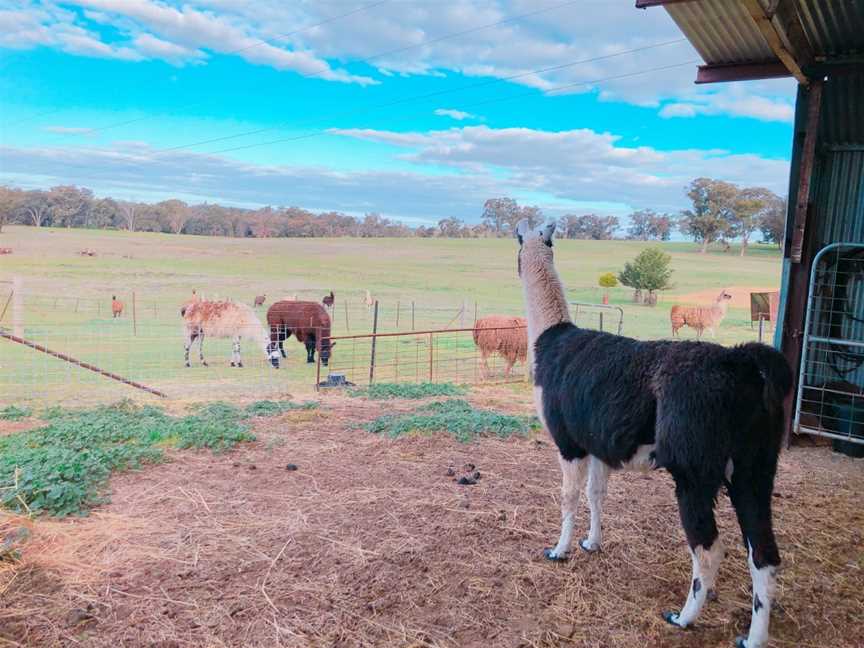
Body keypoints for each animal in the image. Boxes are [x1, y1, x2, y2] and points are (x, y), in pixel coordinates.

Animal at [516, 219, 792, 648]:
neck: (549, 341)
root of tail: (742, 361)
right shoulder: (598, 444)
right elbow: (597, 495)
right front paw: (591, 543)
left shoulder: (569, 442)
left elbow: (569, 497)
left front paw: (559, 550)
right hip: (756, 465)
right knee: (763, 553)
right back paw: (752, 638)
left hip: (695, 469)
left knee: (709, 549)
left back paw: (683, 617)